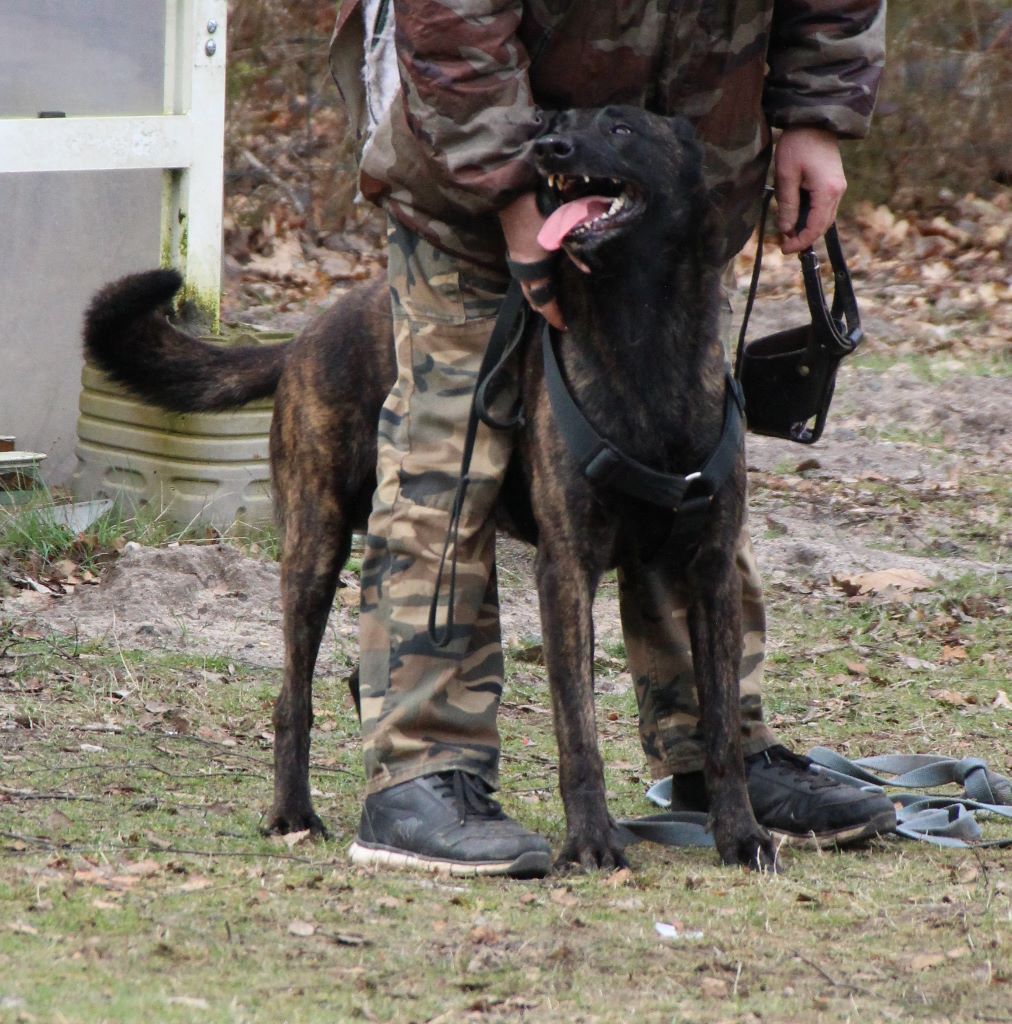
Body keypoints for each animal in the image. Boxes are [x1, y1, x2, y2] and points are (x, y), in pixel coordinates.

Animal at [87, 105, 778, 872]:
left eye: (622, 128)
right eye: (564, 121)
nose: (549, 148)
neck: (643, 336)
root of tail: (305, 335)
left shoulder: (710, 569)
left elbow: (722, 727)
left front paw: (740, 832)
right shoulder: (567, 571)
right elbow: (579, 730)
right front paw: (592, 842)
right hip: (319, 543)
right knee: (294, 696)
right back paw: (295, 812)